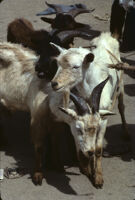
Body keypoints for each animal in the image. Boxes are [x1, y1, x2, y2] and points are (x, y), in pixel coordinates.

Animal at [49, 32, 129, 188]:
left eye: (75, 66)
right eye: (58, 64)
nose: (55, 84)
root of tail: (106, 36)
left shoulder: (102, 119)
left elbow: (98, 149)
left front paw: (98, 178)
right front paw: (85, 168)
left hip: (121, 83)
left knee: (121, 107)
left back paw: (126, 133)